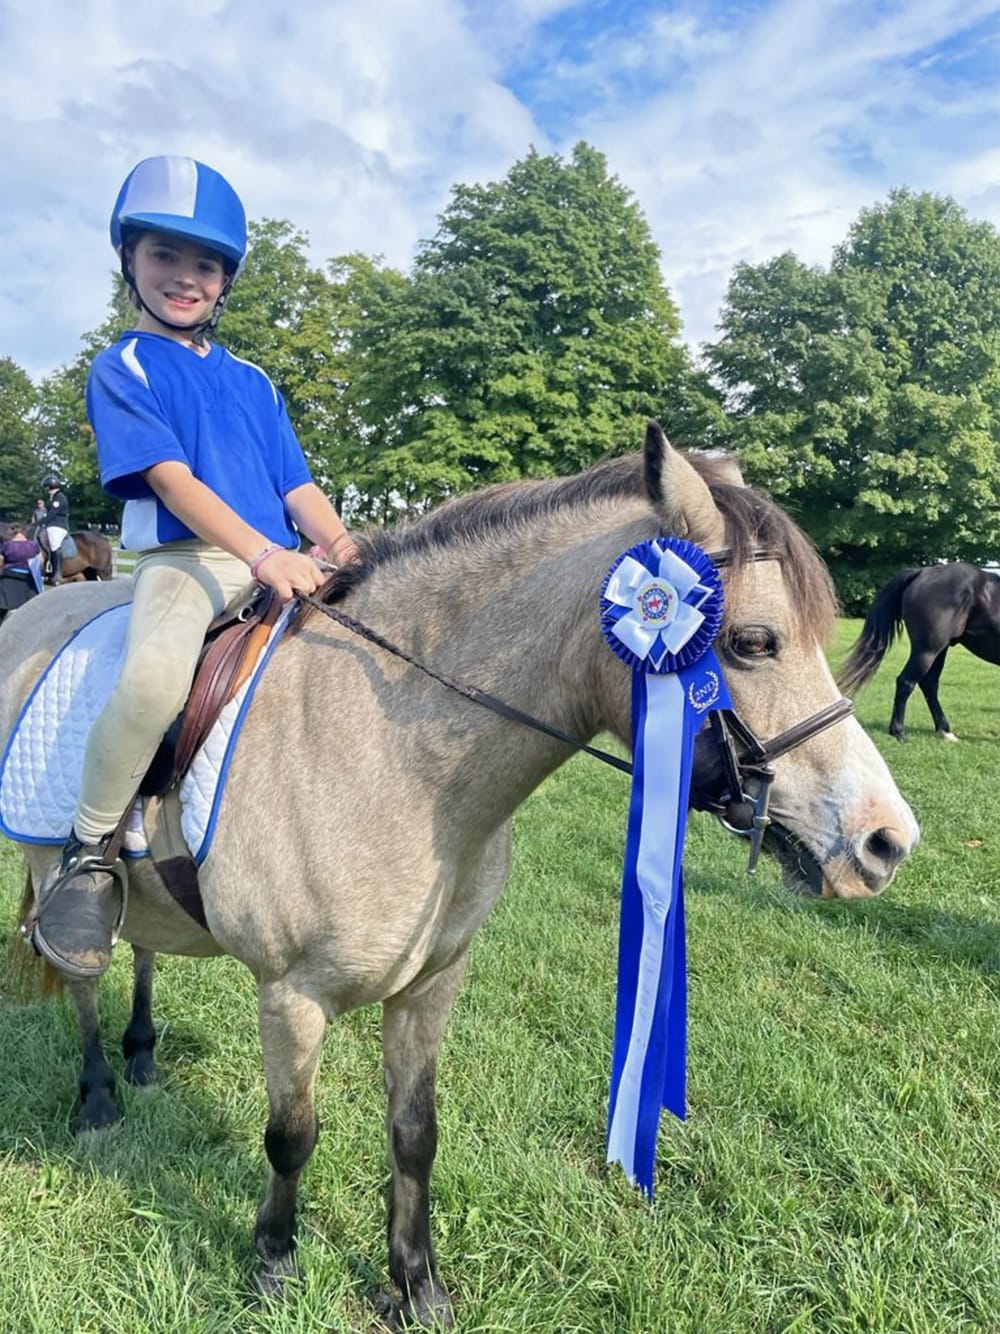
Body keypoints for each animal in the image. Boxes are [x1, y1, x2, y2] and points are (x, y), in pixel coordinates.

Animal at [0, 426, 918, 1329]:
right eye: (755, 642)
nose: (886, 842)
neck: (396, 758)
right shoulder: (291, 996)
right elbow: (291, 1135)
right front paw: (275, 1264)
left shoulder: (432, 983)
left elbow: (415, 1133)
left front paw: (416, 1286)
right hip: (55, 865)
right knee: (83, 970)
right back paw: (98, 1096)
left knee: (144, 950)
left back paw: (142, 1059)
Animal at [840, 562, 1000, 741]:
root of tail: (922, 572)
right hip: (927, 650)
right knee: (906, 682)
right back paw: (899, 732)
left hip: (939, 651)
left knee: (929, 684)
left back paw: (944, 730)